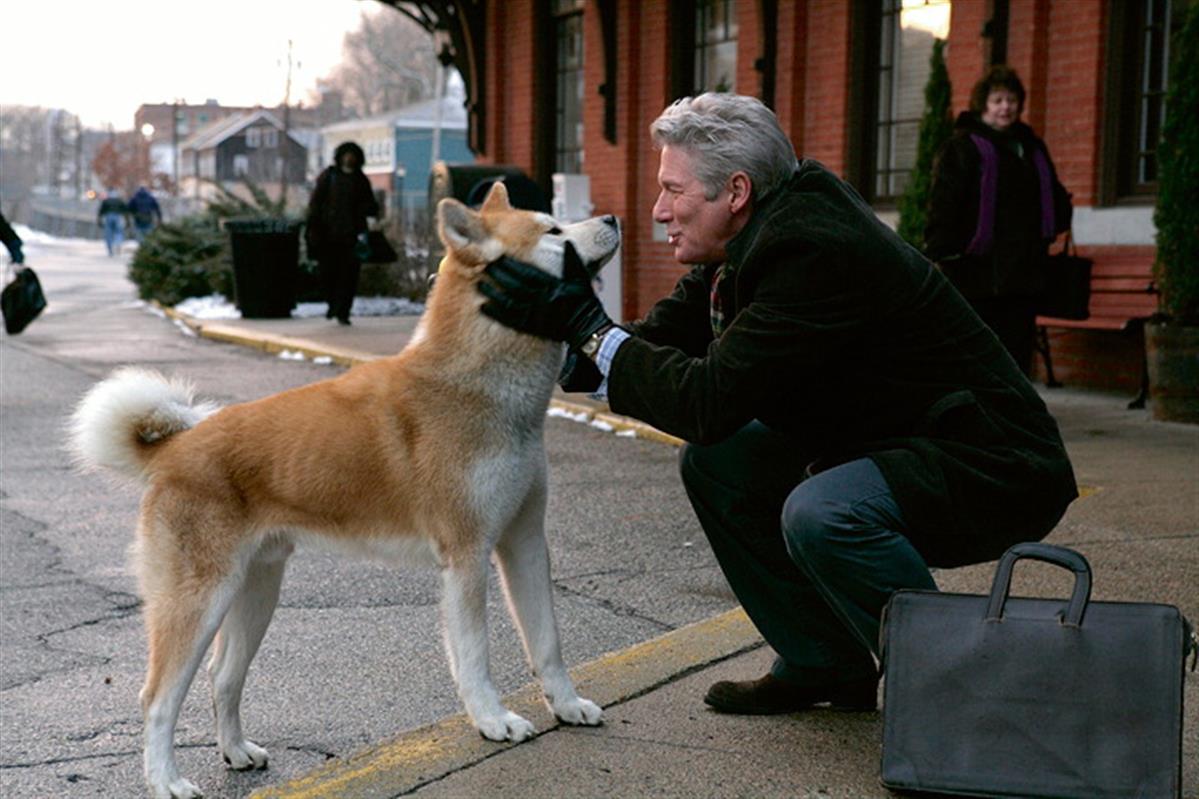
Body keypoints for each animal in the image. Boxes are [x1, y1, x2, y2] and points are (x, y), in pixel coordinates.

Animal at [68, 183, 618, 791]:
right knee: (158, 700)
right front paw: (493, 720)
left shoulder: (523, 543)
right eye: (552, 231)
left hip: (256, 592)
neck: (478, 387)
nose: (615, 218)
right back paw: (167, 780)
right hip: (198, 602)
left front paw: (566, 705)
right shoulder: (468, 557)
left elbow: (548, 643)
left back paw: (236, 751)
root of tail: (173, 450)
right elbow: (476, 656)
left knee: (222, 678)